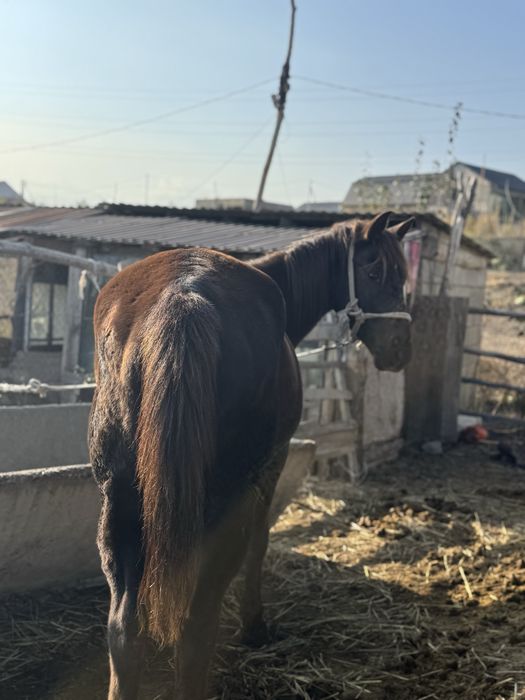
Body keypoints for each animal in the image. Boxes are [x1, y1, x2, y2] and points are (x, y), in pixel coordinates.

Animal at [88, 210, 414, 700]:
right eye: (375, 272)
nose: (400, 350)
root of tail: (182, 296)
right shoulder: (272, 465)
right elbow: (261, 543)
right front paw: (255, 625)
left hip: (122, 503)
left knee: (124, 631)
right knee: (195, 627)